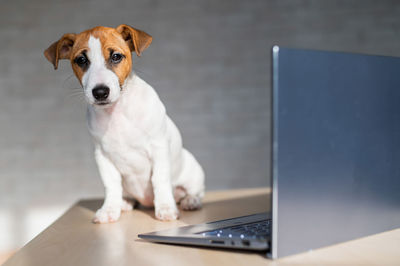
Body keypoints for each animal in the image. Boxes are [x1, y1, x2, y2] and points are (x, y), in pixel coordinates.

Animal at [43, 24, 205, 222]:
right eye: (81, 60)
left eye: (116, 56)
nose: (100, 92)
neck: (116, 114)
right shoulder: (103, 156)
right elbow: (111, 185)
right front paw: (109, 209)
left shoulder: (158, 147)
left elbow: (160, 179)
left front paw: (166, 208)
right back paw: (125, 202)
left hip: (193, 171)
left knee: (195, 191)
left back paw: (190, 201)